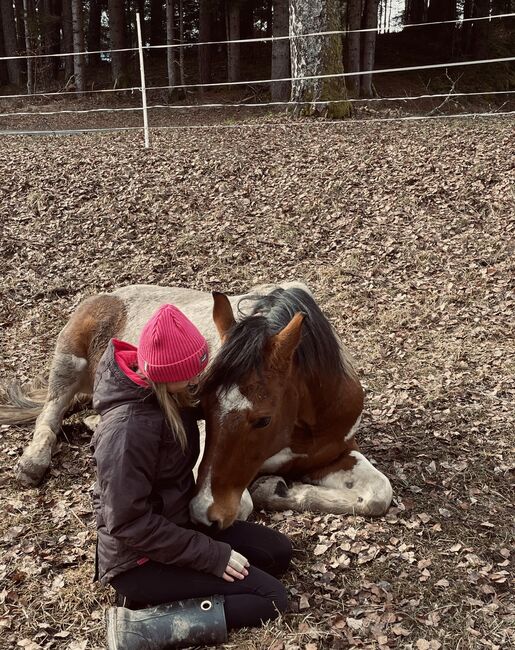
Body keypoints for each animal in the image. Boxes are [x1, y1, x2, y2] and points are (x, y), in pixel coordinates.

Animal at [2, 280, 394, 524]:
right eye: (201, 406)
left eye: (264, 419)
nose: (205, 511)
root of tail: (110, 295)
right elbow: (243, 503)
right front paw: (270, 489)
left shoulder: (335, 454)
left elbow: (380, 494)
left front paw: (282, 489)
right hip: (69, 361)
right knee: (51, 411)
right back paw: (32, 462)